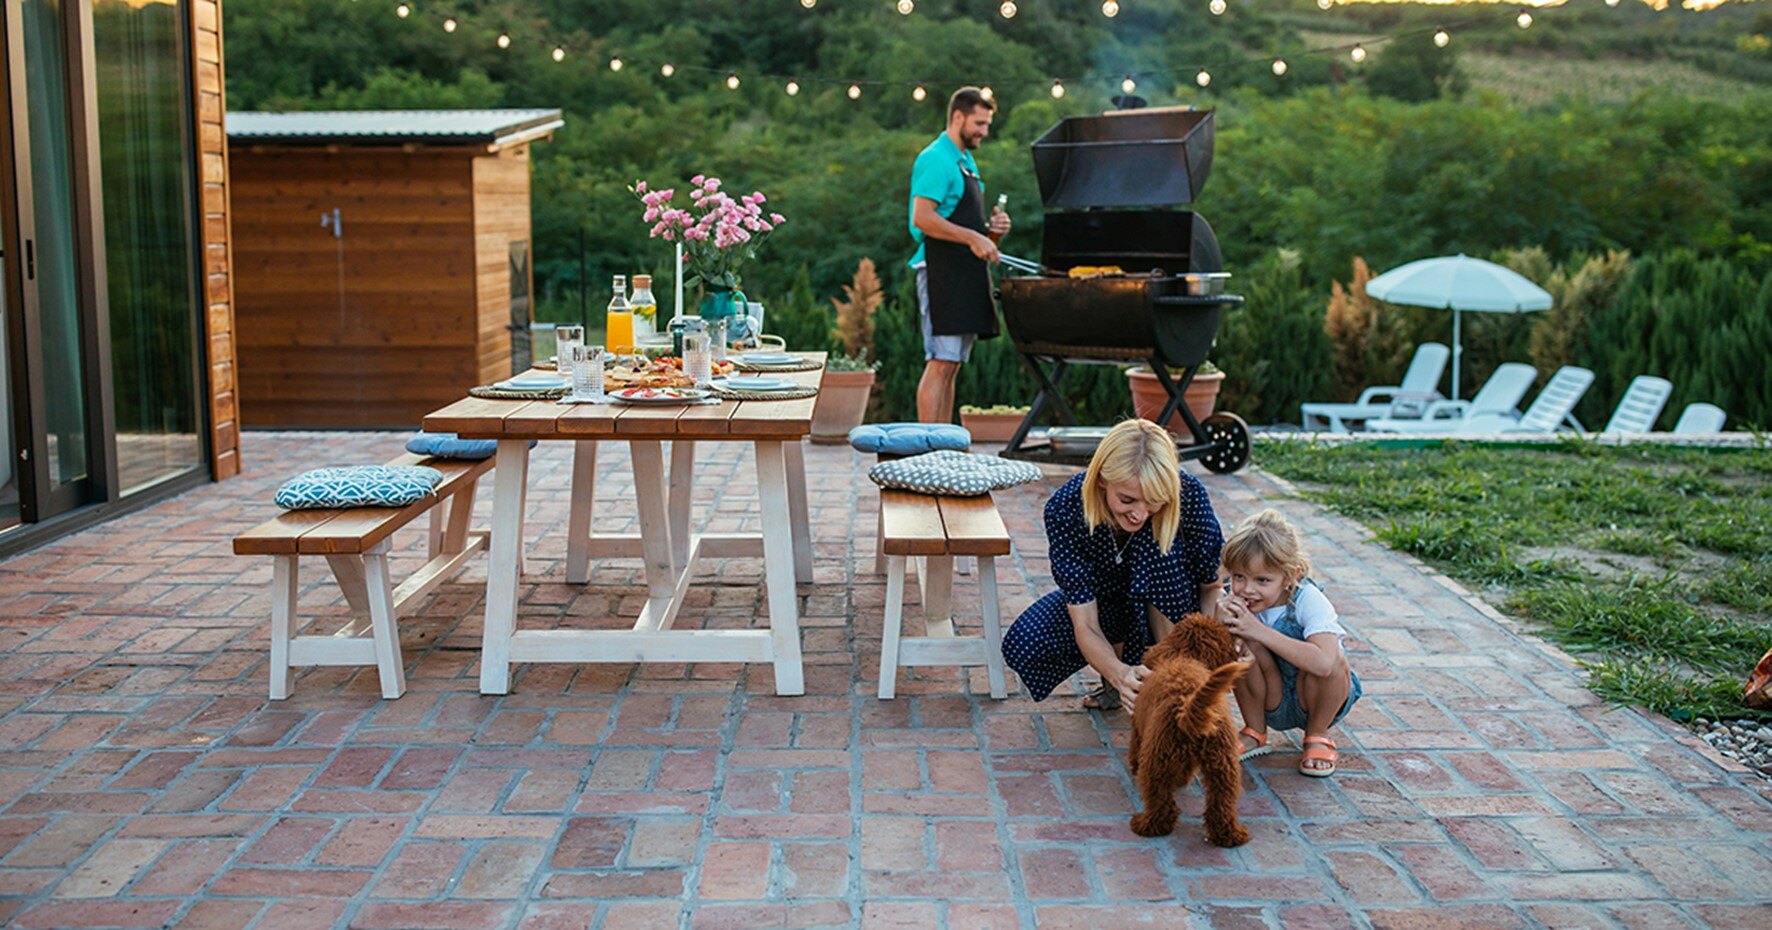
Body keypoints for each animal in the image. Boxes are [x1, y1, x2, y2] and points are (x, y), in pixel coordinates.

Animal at [1126, 612, 1254, 843]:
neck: (1185, 655)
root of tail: (1188, 708)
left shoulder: (1139, 731)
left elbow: (1134, 747)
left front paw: (1133, 766)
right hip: (1224, 765)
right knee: (1222, 803)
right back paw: (1230, 835)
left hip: (1156, 761)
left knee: (1162, 804)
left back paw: (1145, 824)